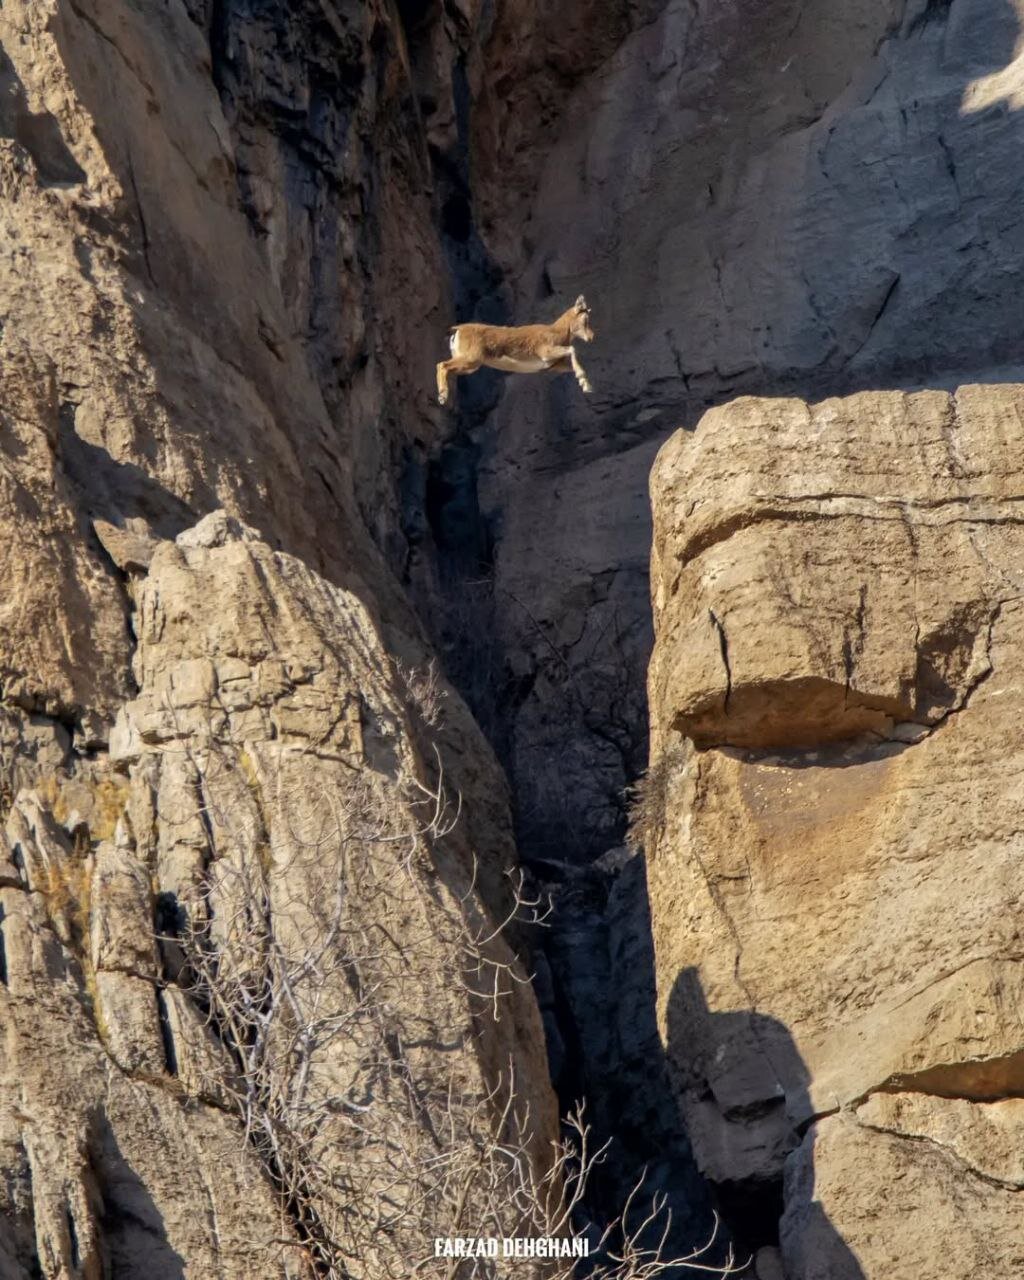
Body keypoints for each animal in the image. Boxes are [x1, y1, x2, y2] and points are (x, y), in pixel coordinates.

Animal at [435, 294, 596, 404]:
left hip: (470, 366)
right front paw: (584, 381)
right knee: (442, 365)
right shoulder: (545, 351)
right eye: (585, 319)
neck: (557, 332)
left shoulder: (553, 366)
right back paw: (442, 396)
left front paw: (586, 385)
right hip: (471, 360)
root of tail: (458, 329)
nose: (591, 336)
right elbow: (572, 349)